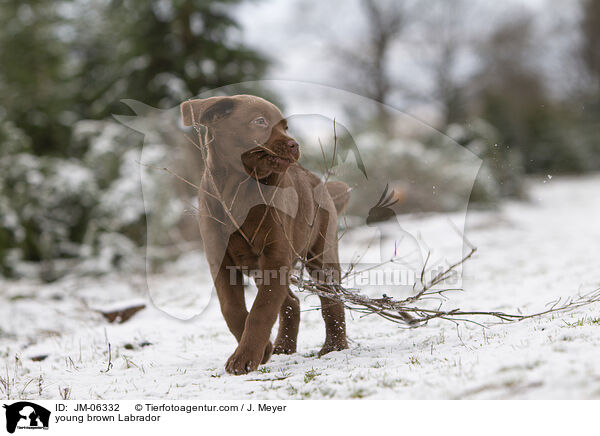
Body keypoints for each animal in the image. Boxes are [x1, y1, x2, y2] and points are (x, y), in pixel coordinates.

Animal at [180, 93, 350, 372]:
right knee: (291, 302)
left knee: (331, 299)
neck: (238, 188)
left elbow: (261, 309)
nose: (294, 145)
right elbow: (232, 309)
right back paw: (283, 347)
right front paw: (264, 350)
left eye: (285, 127)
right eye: (259, 121)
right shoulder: (220, 262)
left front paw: (245, 358)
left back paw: (334, 346)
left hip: (321, 255)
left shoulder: (276, 256)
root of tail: (317, 182)